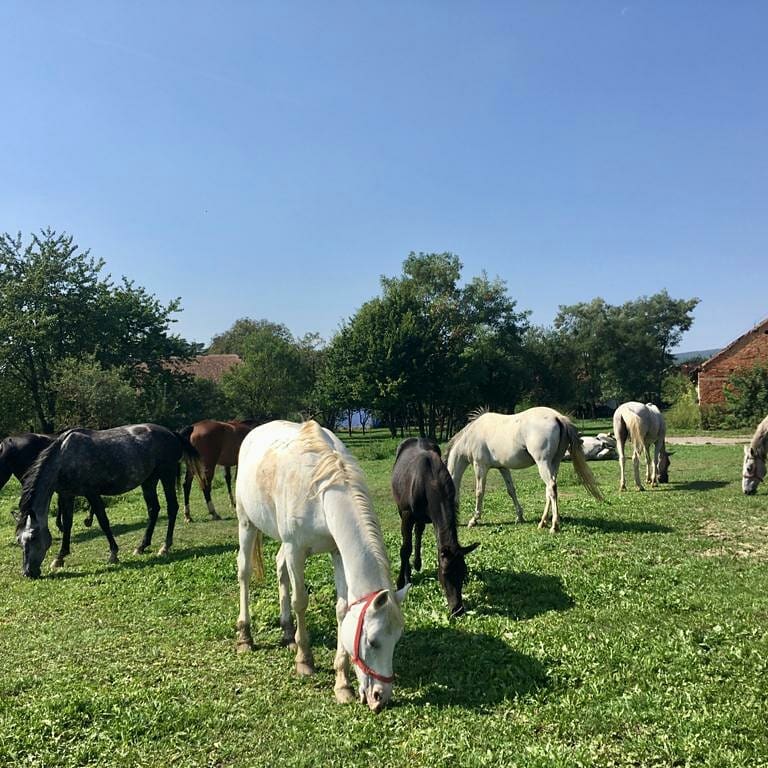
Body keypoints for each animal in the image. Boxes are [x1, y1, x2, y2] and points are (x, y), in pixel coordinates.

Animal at [16, 424, 206, 580]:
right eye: (19, 540)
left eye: (33, 537)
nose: (28, 573)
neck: (64, 457)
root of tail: (172, 433)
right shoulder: (66, 495)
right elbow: (67, 524)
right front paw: (60, 557)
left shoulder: (92, 493)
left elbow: (103, 521)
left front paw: (113, 554)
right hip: (149, 480)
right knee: (154, 510)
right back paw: (141, 546)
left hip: (166, 474)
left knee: (172, 507)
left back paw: (164, 547)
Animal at [237, 420, 412, 712]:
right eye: (372, 641)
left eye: (397, 639)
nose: (380, 698)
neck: (321, 493)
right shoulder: (296, 549)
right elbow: (300, 601)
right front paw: (304, 661)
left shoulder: (337, 552)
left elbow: (342, 609)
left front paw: (342, 684)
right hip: (246, 523)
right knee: (245, 573)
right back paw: (245, 636)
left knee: (280, 569)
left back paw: (287, 632)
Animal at [392, 438, 476, 616]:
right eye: (445, 573)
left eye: (464, 572)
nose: (457, 609)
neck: (430, 481)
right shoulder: (407, 514)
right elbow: (405, 548)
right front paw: (402, 581)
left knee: (419, 531)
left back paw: (417, 563)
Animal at [444, 408, 608, 536]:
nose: (453, 524)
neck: (471, 435)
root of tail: (558, 417)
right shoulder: (503, 468)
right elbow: (511, 490)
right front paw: (520, 517)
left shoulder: (480, 466)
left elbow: (479, 492)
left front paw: (474, 520)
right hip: (553, 464)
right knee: (549, 490)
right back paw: (542, 522)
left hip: (543, 463)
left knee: (551, 487)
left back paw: (554, 526)